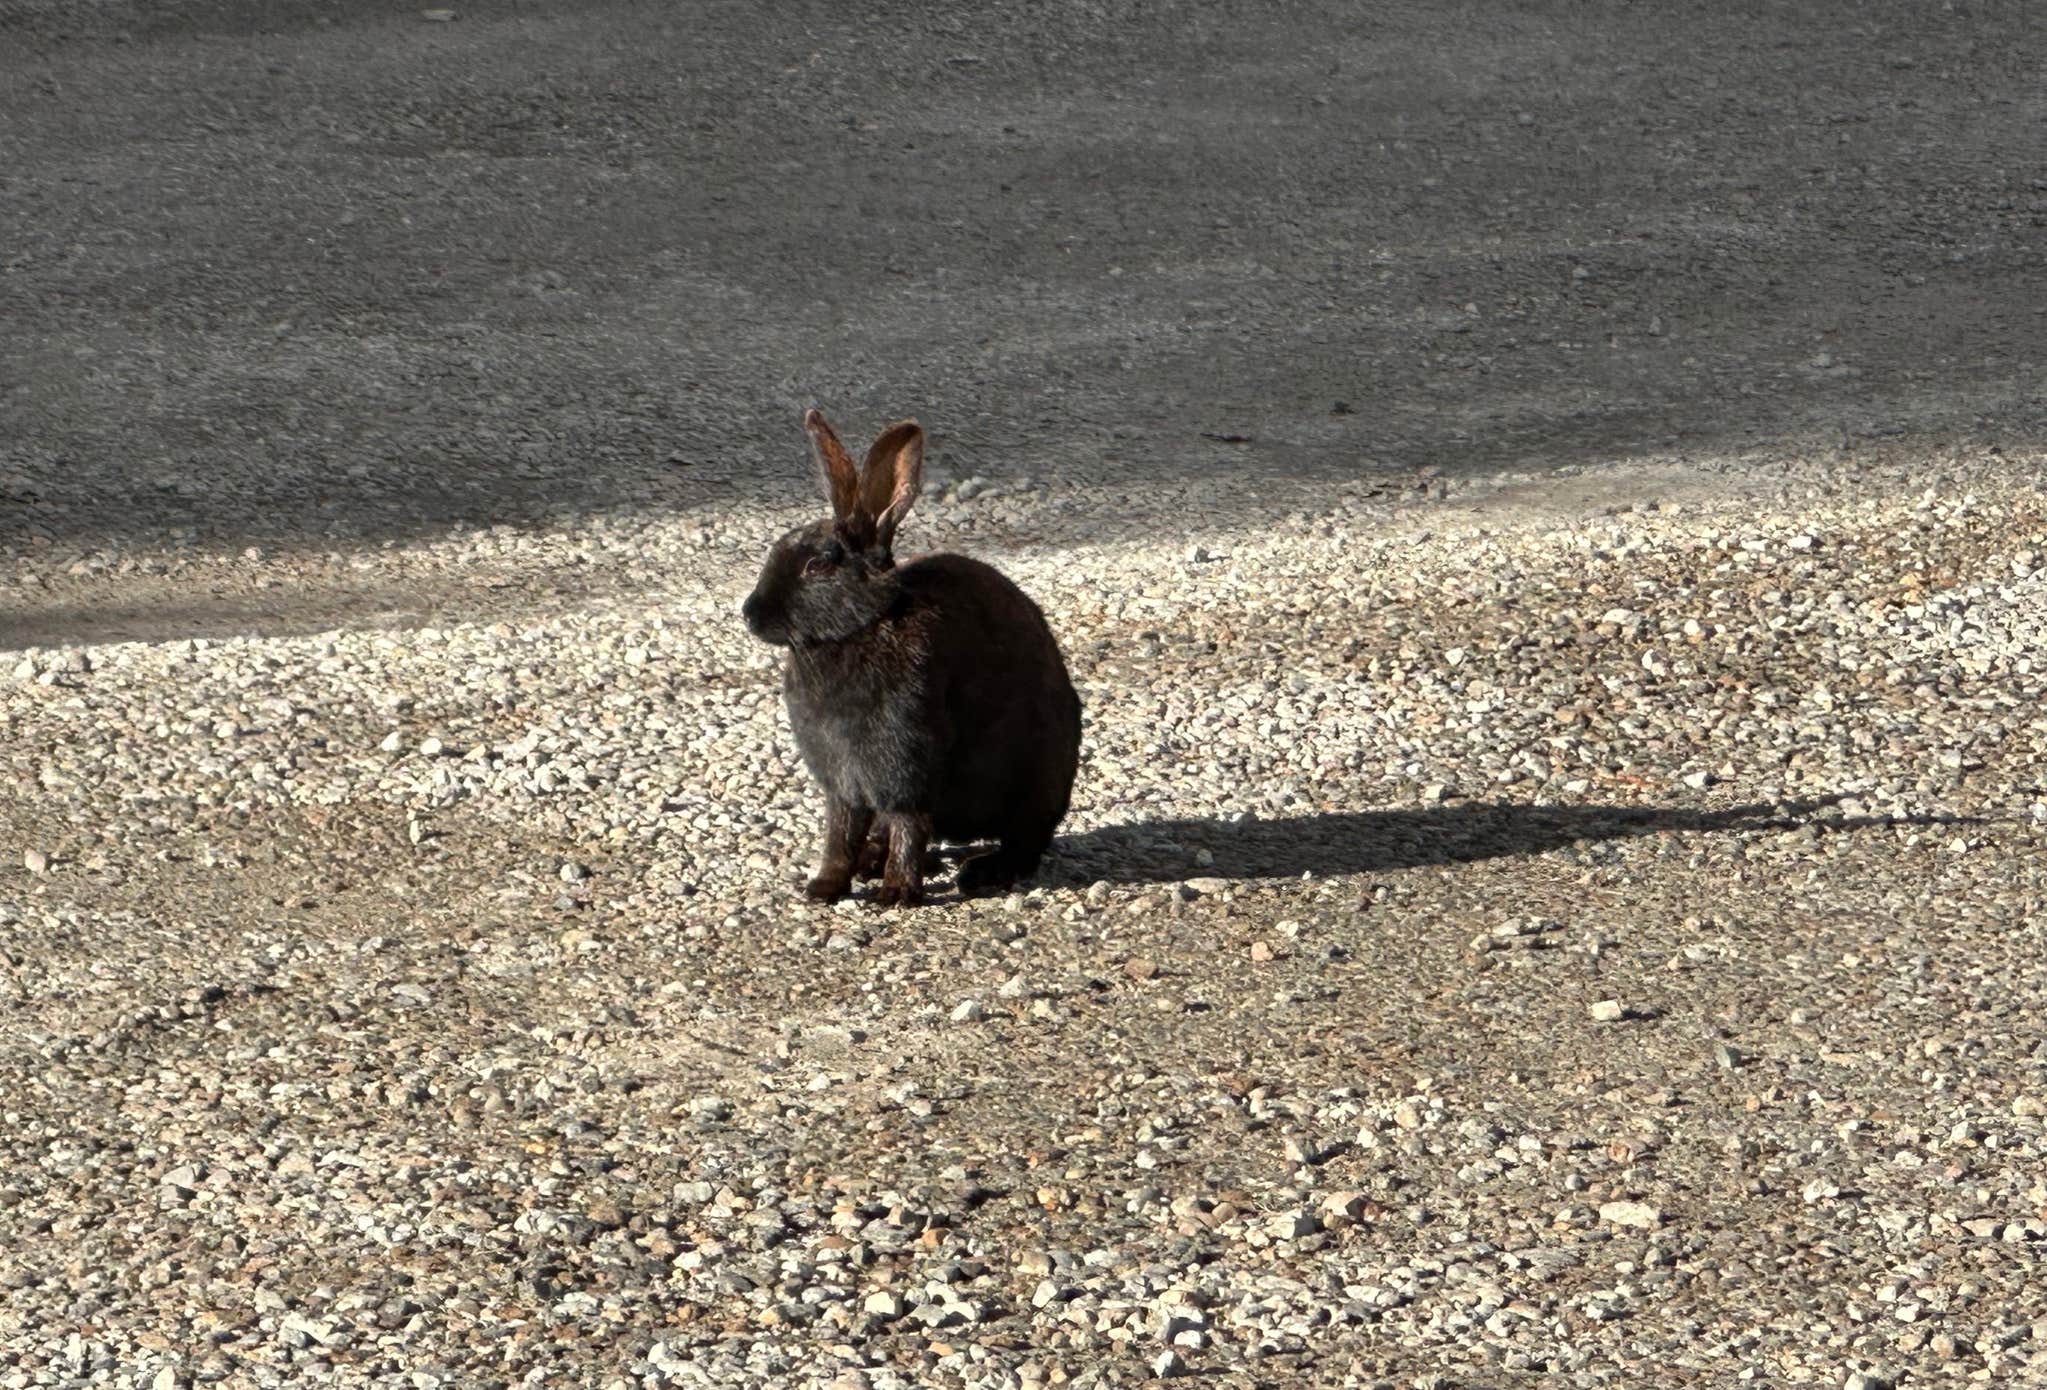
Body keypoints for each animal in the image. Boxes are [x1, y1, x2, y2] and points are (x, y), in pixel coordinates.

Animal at [741, 408, 1082, 908]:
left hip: (1036, 784)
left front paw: (897, 893)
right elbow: (841, 832)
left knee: (1024, 843)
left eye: (818, 566)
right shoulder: (844, 785)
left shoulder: (904, 769)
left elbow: (907, 823)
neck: (863, 624)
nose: (751, 614)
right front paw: (824, 887)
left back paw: (981, 871)